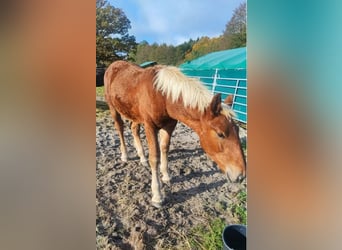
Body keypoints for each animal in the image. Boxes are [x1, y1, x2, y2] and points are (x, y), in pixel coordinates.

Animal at [104, 60, 246, 207]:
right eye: (220, 134)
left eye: (237, 130)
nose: (240, 176)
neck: (162, 96)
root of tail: (114, 65)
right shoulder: (150, 126)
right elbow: (155, 157)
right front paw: (157, 195)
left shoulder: (169, 125)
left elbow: (164, 148)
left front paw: (166, 175)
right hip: (113, 107)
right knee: (120, 128)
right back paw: (125, 155)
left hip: (134, 114)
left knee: (134, 129)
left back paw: (142, 157)